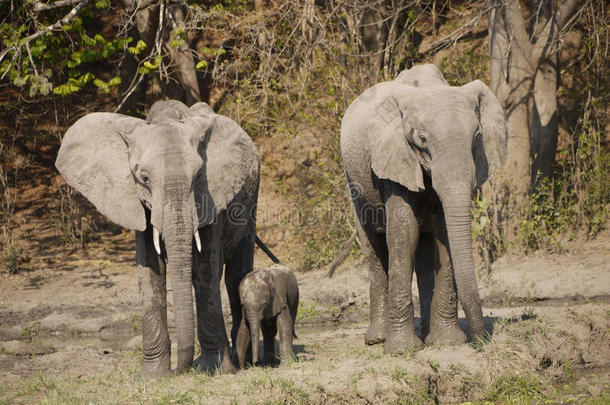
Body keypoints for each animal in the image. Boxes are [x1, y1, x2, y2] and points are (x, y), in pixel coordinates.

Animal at [57, 99, 264, 378]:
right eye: (143, 178)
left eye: (199, 176)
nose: (180, 370)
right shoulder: (138, 205)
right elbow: (150, 274)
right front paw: (153, 376)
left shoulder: (211, 200)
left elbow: (206, 272)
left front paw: (217, 370)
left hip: (251, 201)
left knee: (235, 276)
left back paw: (241, 361)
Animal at [340, 64, 506, 354]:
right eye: (422, 138)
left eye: (476, 136)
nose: (481, 341)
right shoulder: (394, 158)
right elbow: (404, 234)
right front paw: (402, 350)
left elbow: (444, 233)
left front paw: (447, 343)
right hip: (354, 183)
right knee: (373, 244)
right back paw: (377, 339)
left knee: (425, 251)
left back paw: (429, 336)